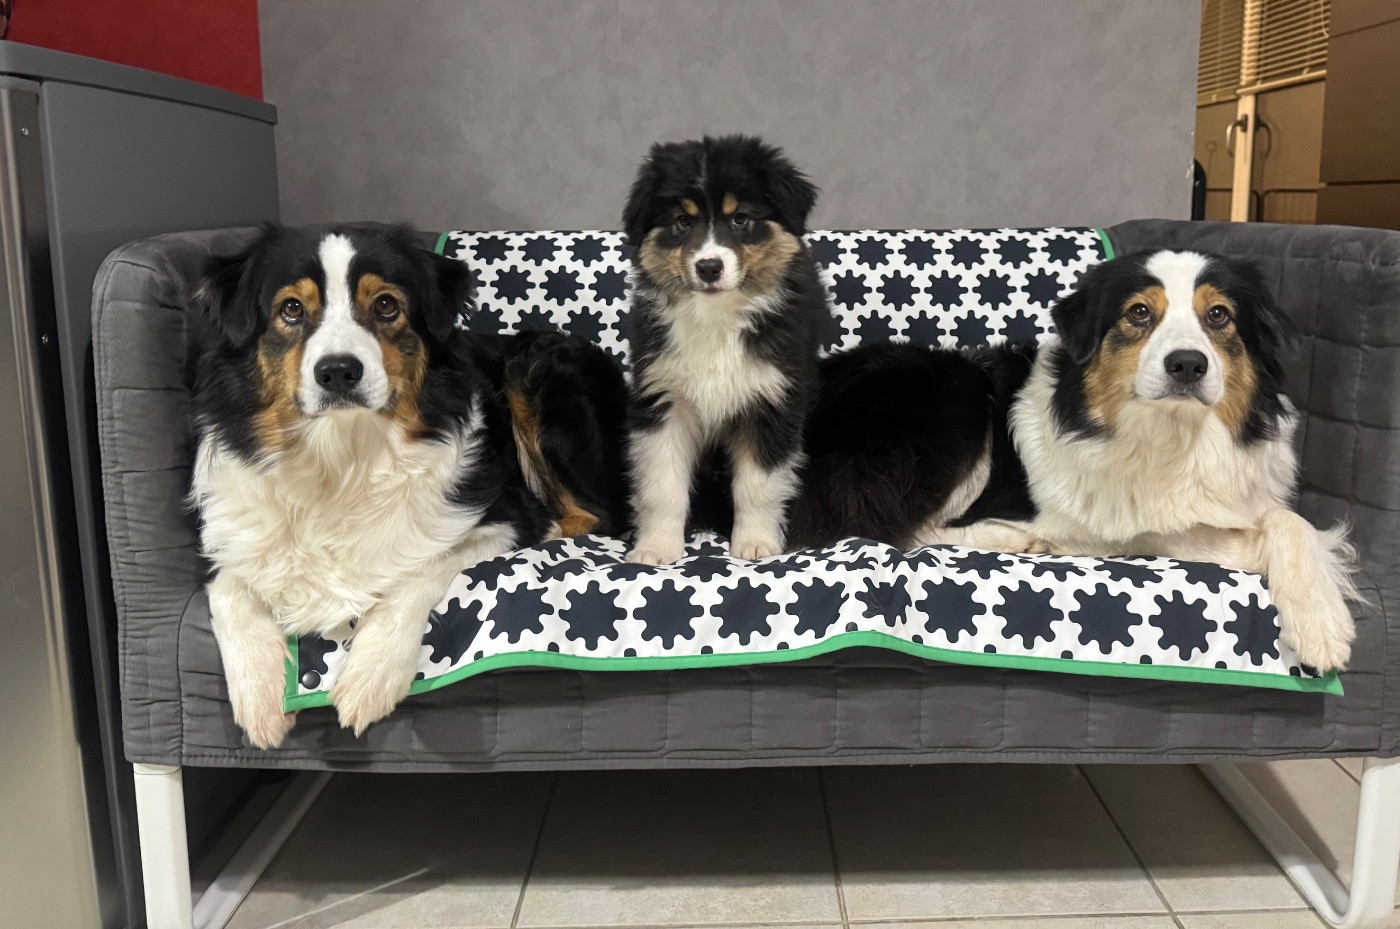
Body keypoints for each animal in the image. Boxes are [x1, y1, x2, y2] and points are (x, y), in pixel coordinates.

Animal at [191, 223, 628, 748]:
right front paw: (260, 696)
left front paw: (370, 676)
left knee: (595, 514)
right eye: (291, 309)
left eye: (385, 305)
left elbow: (418, 571)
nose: (338, 371)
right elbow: (228, 588)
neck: (343, 457)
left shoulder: (504, 514)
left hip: (537, 367)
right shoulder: (231, 532)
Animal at [622, 135, 831, 564]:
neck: (717, 316)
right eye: (682, 222)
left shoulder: (771, 401)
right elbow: (661, 485)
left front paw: (755, 543)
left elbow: (758, 484)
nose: (708, 267)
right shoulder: (662, 398)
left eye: (740, 219)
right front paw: (656, 548)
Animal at [794, 250, 1358, 672]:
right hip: (954, 402)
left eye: (1218, 315)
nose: (1187, 364)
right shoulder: (1115, 524)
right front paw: (1322, 623)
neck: (1171, 434)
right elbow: (1248, 528)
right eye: (1138, 313)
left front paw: (1318, 612)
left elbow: (1285, 519)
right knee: (890, 526)